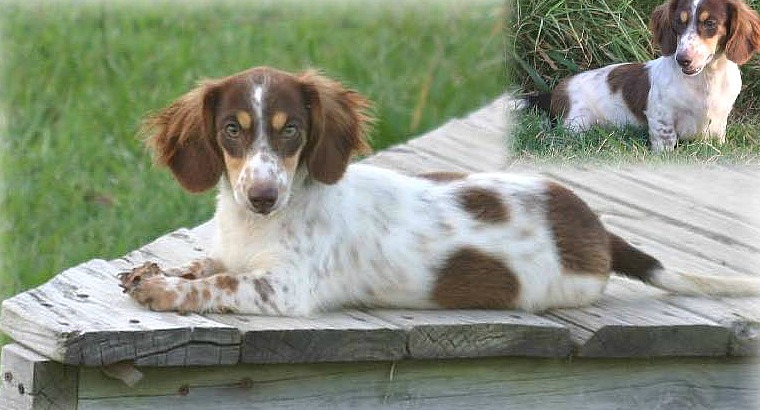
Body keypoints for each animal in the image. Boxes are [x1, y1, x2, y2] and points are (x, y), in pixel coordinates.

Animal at [120, 66, 760, 314]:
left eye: (291, 131)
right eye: (232, 130)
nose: (262, 196)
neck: (256, 226)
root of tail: (597, 232)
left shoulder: (287, 289)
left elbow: (224, 283)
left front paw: (165, 291)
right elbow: (210, 264)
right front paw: (162, 271)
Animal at [528, 0, 760, 152]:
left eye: (710, 23)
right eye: (679, 22)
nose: (682, 59)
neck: (706, 79)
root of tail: (556, 91)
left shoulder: (719, 119)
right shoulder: (660, 113)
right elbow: (665, 140)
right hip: (578, 123)